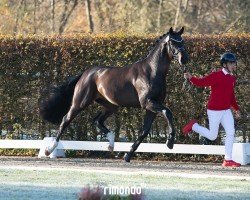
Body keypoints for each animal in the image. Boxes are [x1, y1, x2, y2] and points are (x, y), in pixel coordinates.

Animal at [39, 26, 188, 162]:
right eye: (173, 42)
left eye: (182, 41)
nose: (184, 59)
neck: (151, 71)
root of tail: (86, 73)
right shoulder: (148, 103)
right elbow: (167, 112)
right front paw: (170, 142)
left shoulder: (151, 107)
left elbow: (144, 131)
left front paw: (127, 156)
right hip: (79, 103)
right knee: (66, 120)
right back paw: (49, 149)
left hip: (110, 106)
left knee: (97, 120)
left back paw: (110, 145)